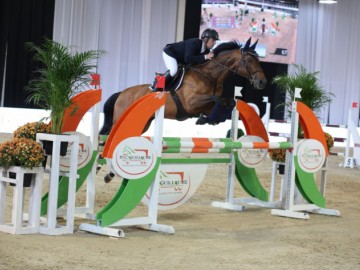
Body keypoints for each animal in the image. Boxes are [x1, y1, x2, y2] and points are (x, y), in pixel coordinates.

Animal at [100, 38, 266, 135]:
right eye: (249, 60)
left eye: (258, 59)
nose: (262, 82)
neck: (211, 76)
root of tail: (122, 93)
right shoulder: (192, 103)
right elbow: (219, 100)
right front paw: (206, 119)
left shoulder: (207, 105)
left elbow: (228, 101)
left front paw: (211, 119)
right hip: (121, 119)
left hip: (143, 123)